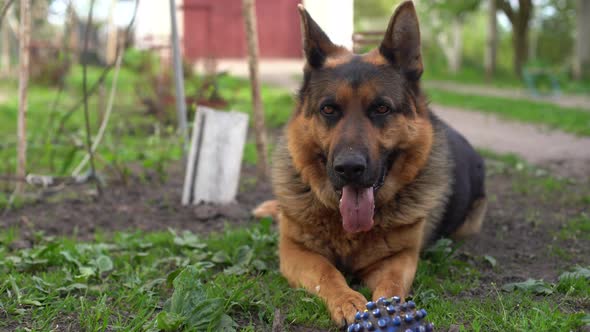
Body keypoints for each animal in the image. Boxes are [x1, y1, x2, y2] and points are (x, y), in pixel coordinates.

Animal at [256, 0, 488, 326]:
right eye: (329, 109)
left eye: (381, 108)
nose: (349, 168)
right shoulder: (294, 251)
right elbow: (327, 273)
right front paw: (347, 300)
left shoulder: (399, 259)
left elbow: (391, 286)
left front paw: (390, 310)